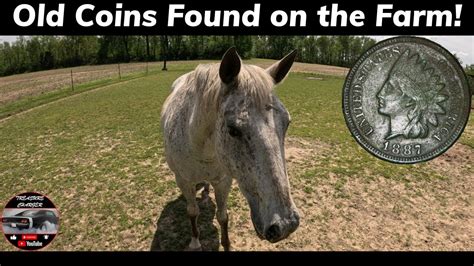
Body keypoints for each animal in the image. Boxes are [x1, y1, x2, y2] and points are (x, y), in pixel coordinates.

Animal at [161, 48, 298, 251]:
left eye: (287, 123)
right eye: (233, 130)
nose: (286, 225)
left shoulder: (223, 182)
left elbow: (222, 216)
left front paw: (226, 244)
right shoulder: (183, 181)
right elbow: (192, 211)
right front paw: (195, 241)